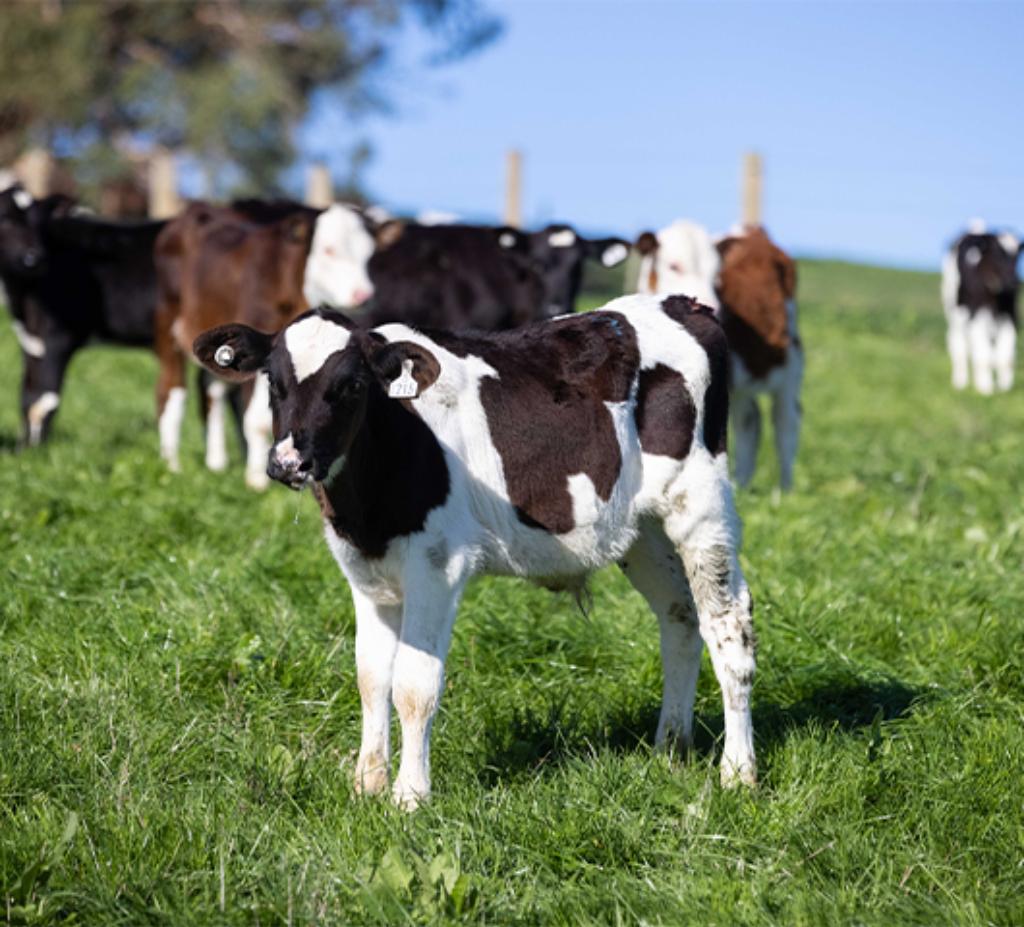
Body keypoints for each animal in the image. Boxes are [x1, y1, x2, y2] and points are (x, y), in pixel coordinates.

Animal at [0, 185, 167, 445]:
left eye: (40, 224)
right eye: (4, 218)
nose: (33, 258)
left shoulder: (58, 337)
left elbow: (46, 398)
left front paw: (37, 450)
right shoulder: (31, 340)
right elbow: (27, 397)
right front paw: (23, 448)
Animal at [154, 199, 375, 488]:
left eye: (369, 254)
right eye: (328, 250)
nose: (364, 295)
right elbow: (256, 418)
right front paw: (257, 479)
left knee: (212, 389)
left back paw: (216, 462)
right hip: (168, 324)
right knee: (170, 391)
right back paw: (171, 465)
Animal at [192, 294, 758, 808]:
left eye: (352, 385)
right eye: (273, 381)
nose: (290, 462)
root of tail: (683, 303)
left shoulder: (437, 567)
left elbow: (414, 684)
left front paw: (410, 795)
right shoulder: (364, 574)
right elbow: (371, 676)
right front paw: (366, 785)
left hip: (700, 505)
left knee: (727, 625)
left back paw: (737, 770)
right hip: (641, 532)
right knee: (679, 616)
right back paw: (670, 748)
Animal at [941, 222, 1021, 394]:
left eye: (1018, 255)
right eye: (997, 253)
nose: (1014, 282)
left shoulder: (1010, 317)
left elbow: (1005, 357)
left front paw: (1004, 387)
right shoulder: (976, 316)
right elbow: (984, 355)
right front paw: (985, 387)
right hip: (955, 312)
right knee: (958, 344)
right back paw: (960, 381)